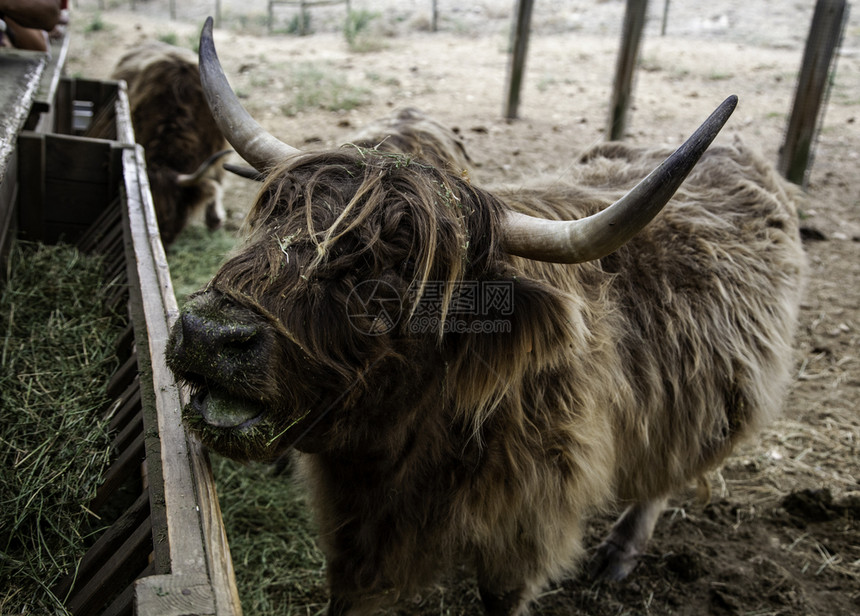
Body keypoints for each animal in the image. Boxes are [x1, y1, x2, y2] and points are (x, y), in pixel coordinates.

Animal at [165, 19, 808, 616]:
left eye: (397, 271)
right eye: (273, 216)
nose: (210, 335)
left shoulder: (526, 528)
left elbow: (502, 594)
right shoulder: (357, 530)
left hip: (713, 403)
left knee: (666, 474)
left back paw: (620, 553)